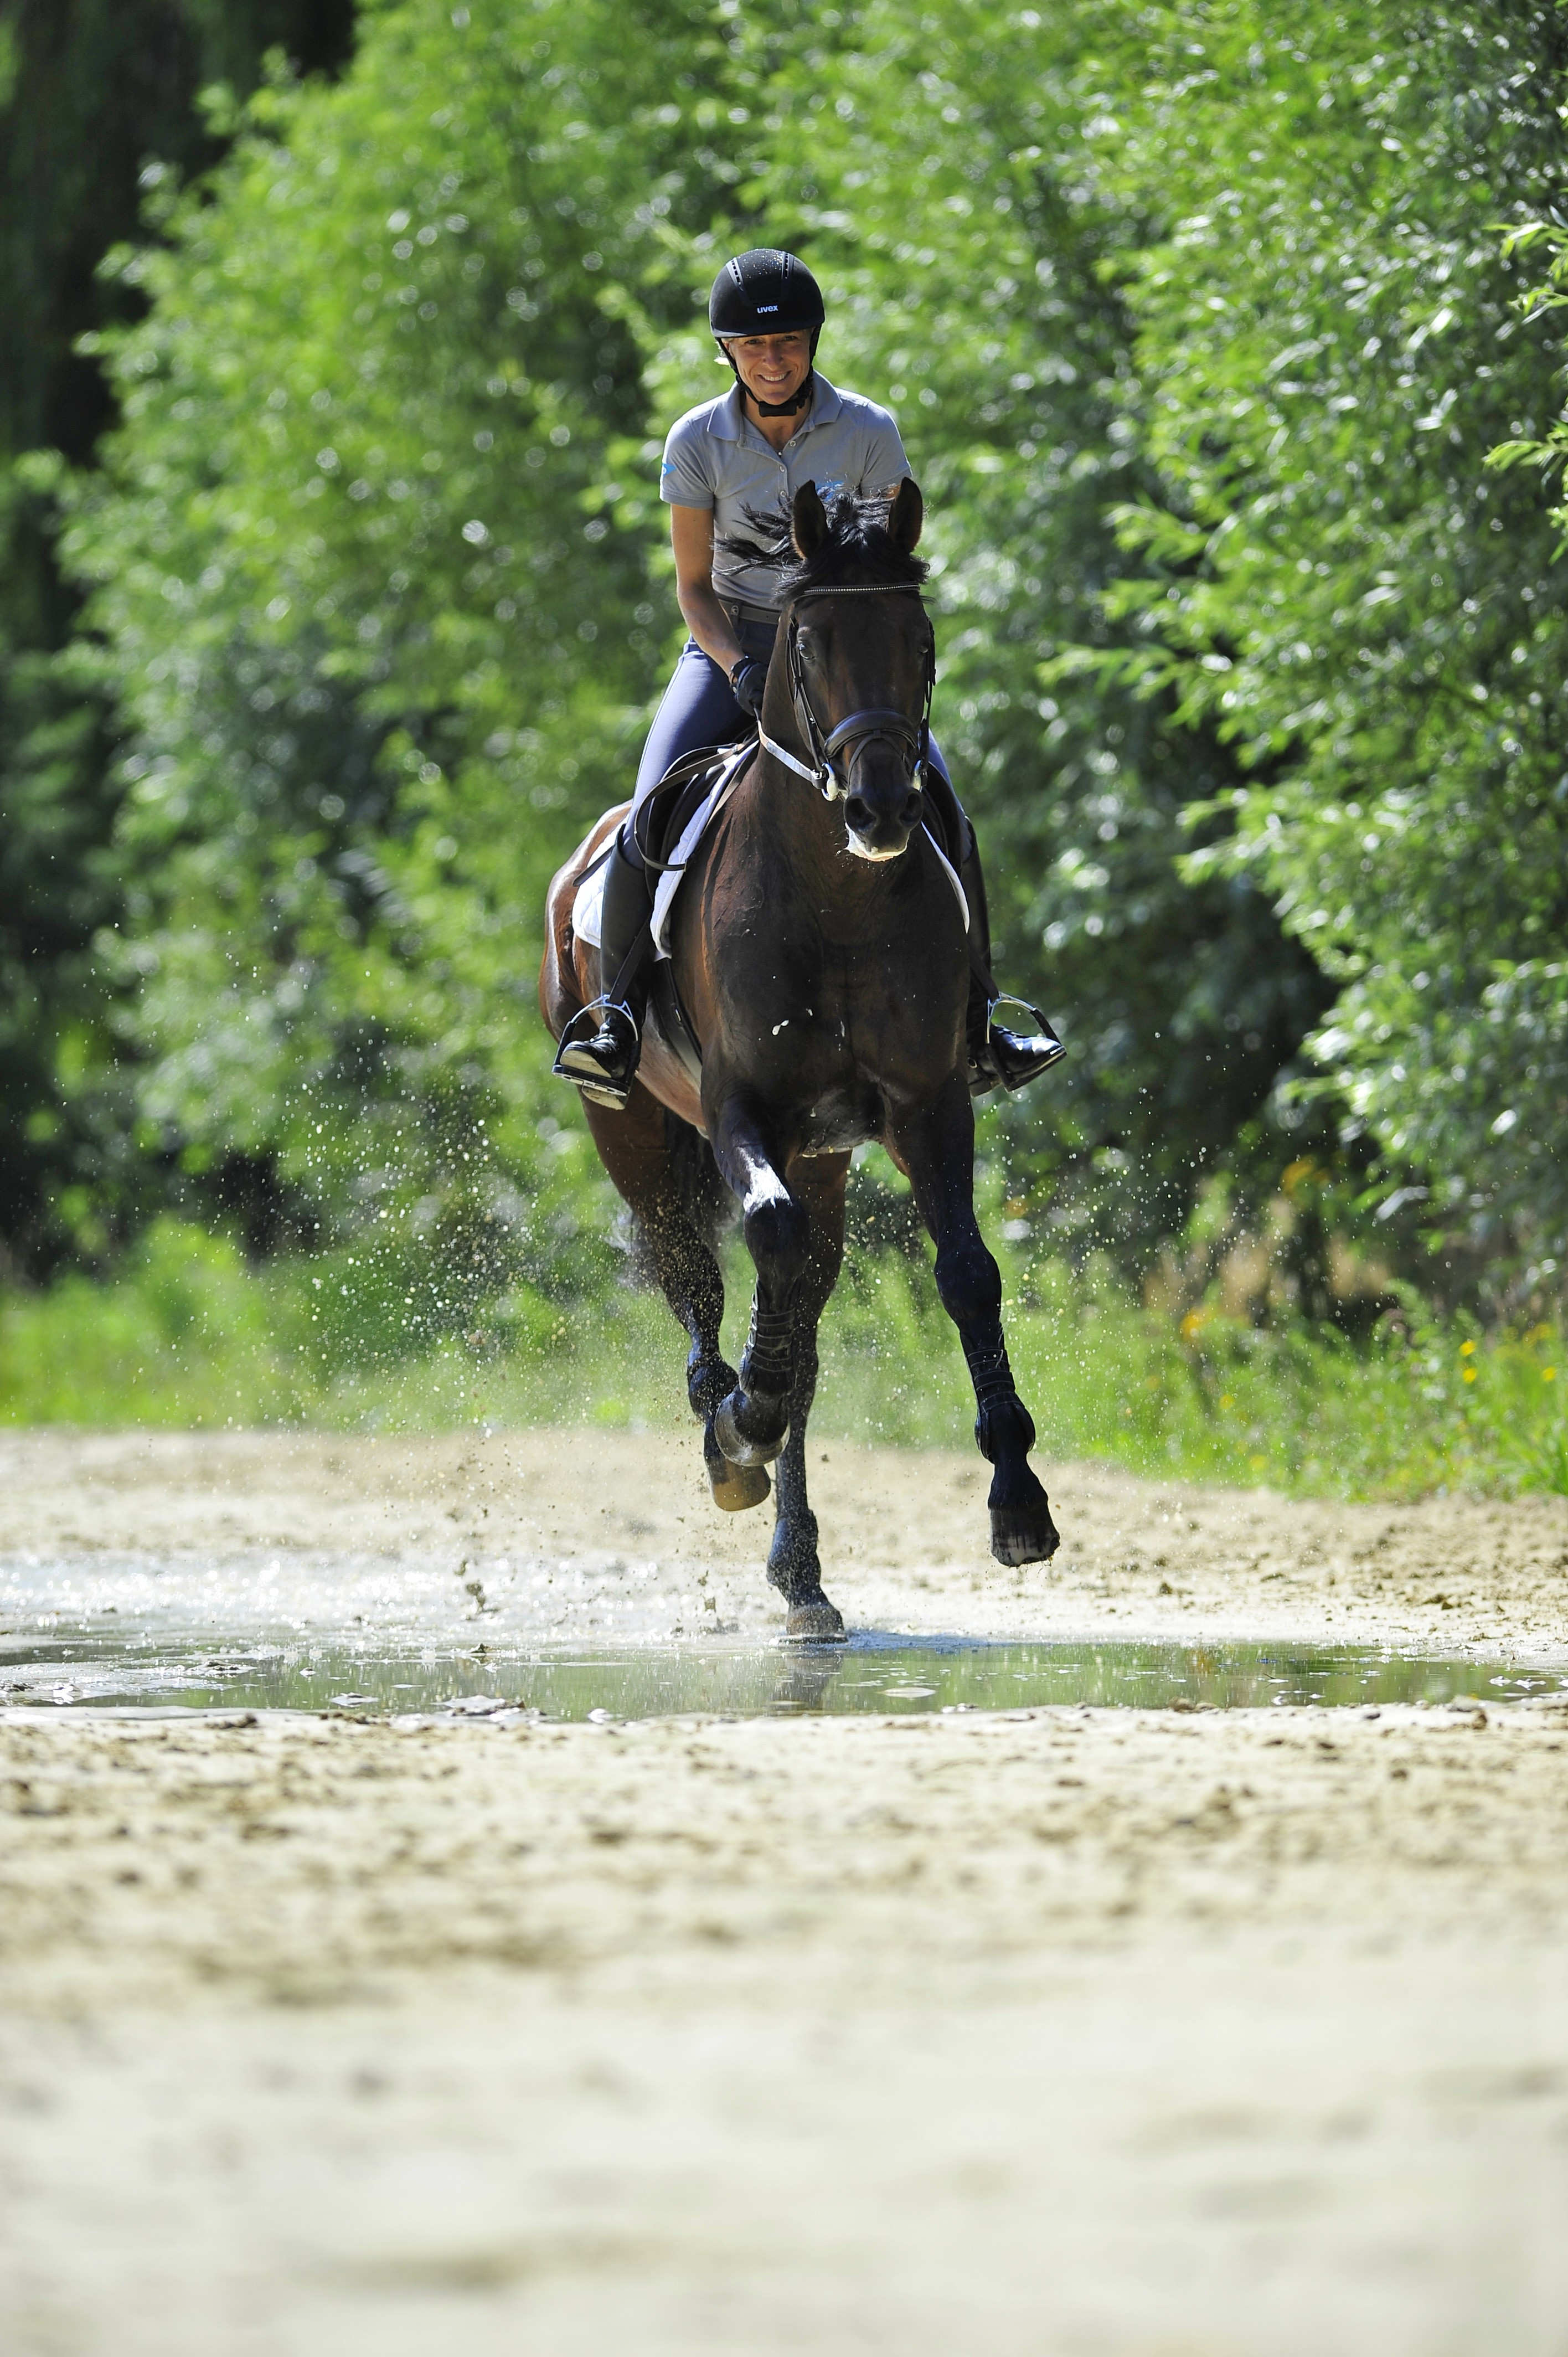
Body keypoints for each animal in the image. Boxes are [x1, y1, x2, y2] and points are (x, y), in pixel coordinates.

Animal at [540, 479, 1059, 1637]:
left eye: (921, 641)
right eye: (812, 645)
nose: (881, 807)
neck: (837, 894)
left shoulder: (925, 1106)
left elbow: (967, 1273)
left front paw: (1017, 1502)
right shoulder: (743, 1109)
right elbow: (762, 1243)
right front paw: (743, 1418)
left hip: (825, 1155)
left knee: (804, 1324)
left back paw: (800, 1569)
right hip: (630, 1132)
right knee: (695, 1277)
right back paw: (727, 1431)